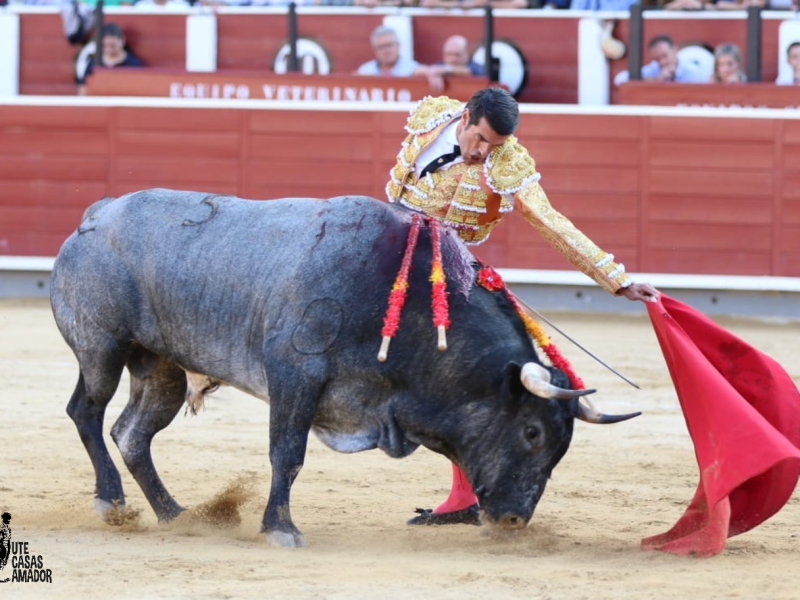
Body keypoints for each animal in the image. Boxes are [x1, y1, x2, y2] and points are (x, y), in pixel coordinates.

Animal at [48, 189, 636, 548]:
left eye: (561, 447)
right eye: (532, 432)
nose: (515, 519)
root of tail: (95, 214)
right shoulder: (293, 375)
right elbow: (287, 455)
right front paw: (281, 529)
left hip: (162, 368)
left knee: (132, 434)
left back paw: (174, 514)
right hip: (101, 347)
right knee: (86, 412)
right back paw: (111, 502)